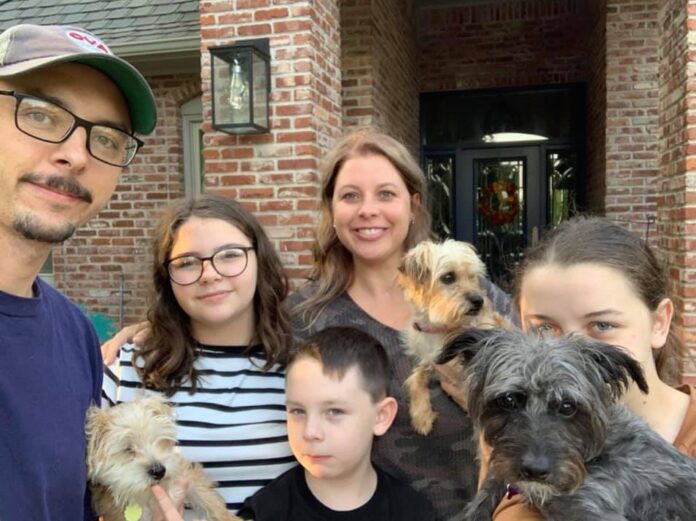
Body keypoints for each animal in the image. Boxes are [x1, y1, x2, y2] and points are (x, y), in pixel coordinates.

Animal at [398, 239, 512, 435]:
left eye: (473, 277)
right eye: (448, 277)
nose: (479, 301)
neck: (442, 328)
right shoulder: (429, 360)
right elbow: (416, 378)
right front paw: (422, 415)